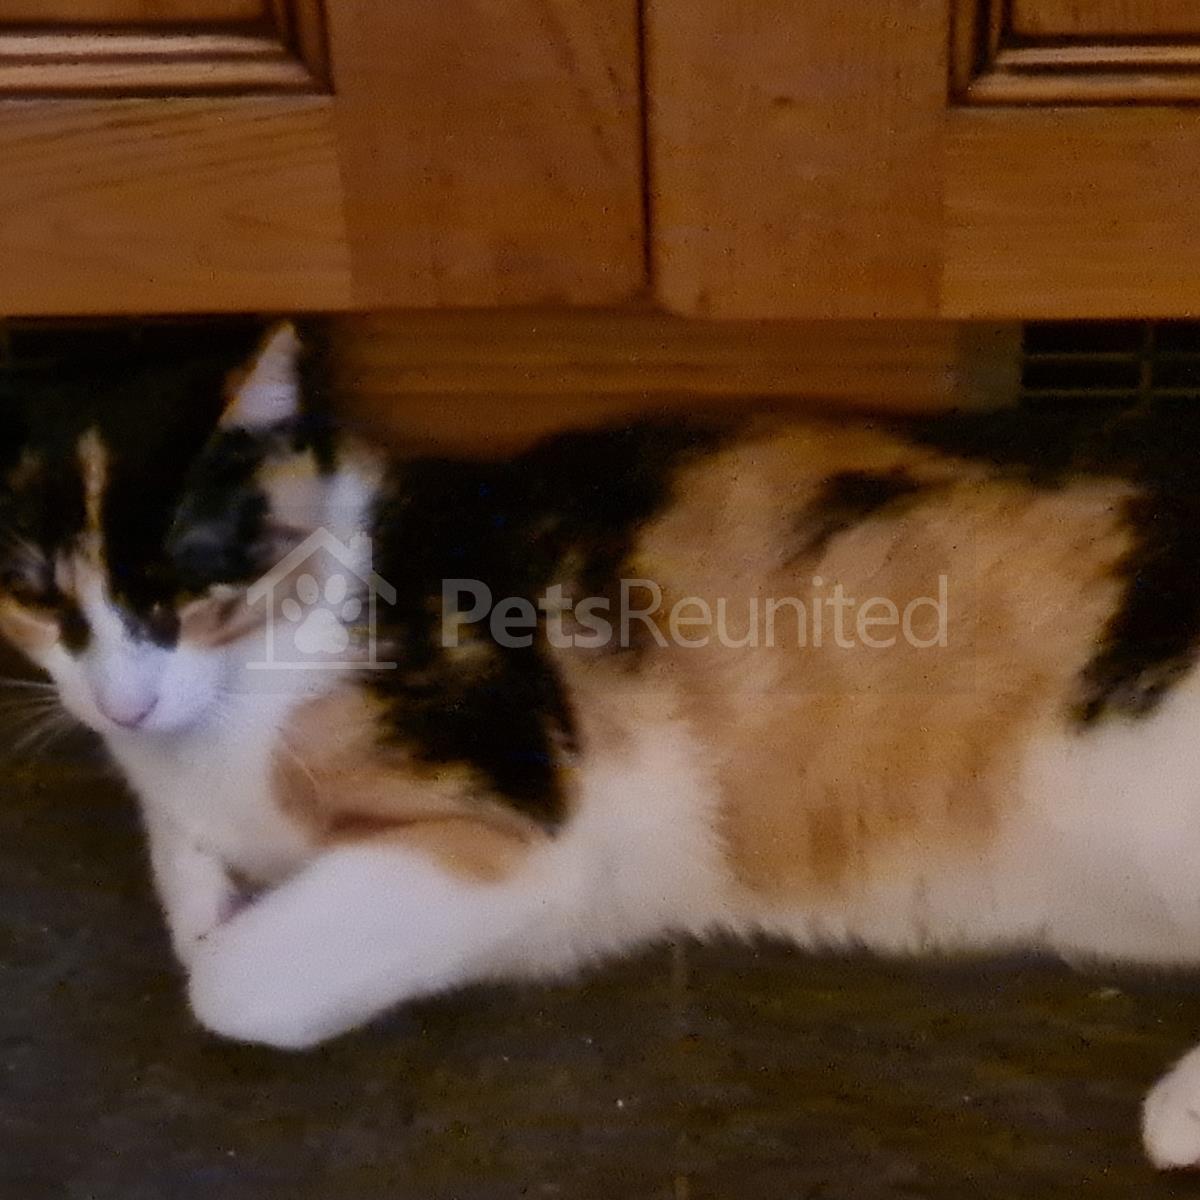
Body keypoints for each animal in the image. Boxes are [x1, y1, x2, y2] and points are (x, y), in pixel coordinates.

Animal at [4, 321, 1200, 1169]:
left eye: (183, 586)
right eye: (37, 594)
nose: (122, 702)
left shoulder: (522, 821)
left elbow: (227, 981)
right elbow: (183, 868)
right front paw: (208, 877)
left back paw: (1179, 1114)